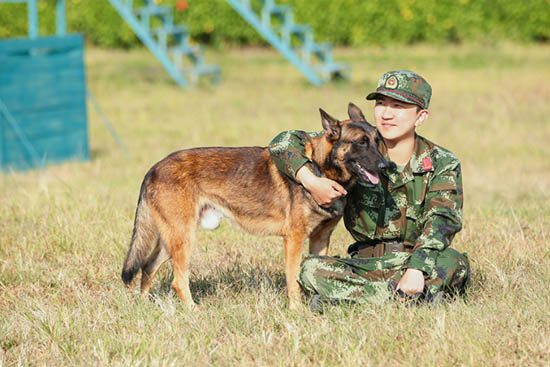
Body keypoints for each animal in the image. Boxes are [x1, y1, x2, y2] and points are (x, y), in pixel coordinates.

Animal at [122, 103, 394, 310]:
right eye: (360, 143)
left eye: (377, 141)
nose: (387, 167)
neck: (319, 169)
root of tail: (153, 168)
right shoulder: (294, 238)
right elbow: (294, 278)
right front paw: (296, 311)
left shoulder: (320, 238)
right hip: (183, 237)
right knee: (177, 281)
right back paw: (193, 310)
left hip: (172, 238)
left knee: (147, 267)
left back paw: (143, 306)